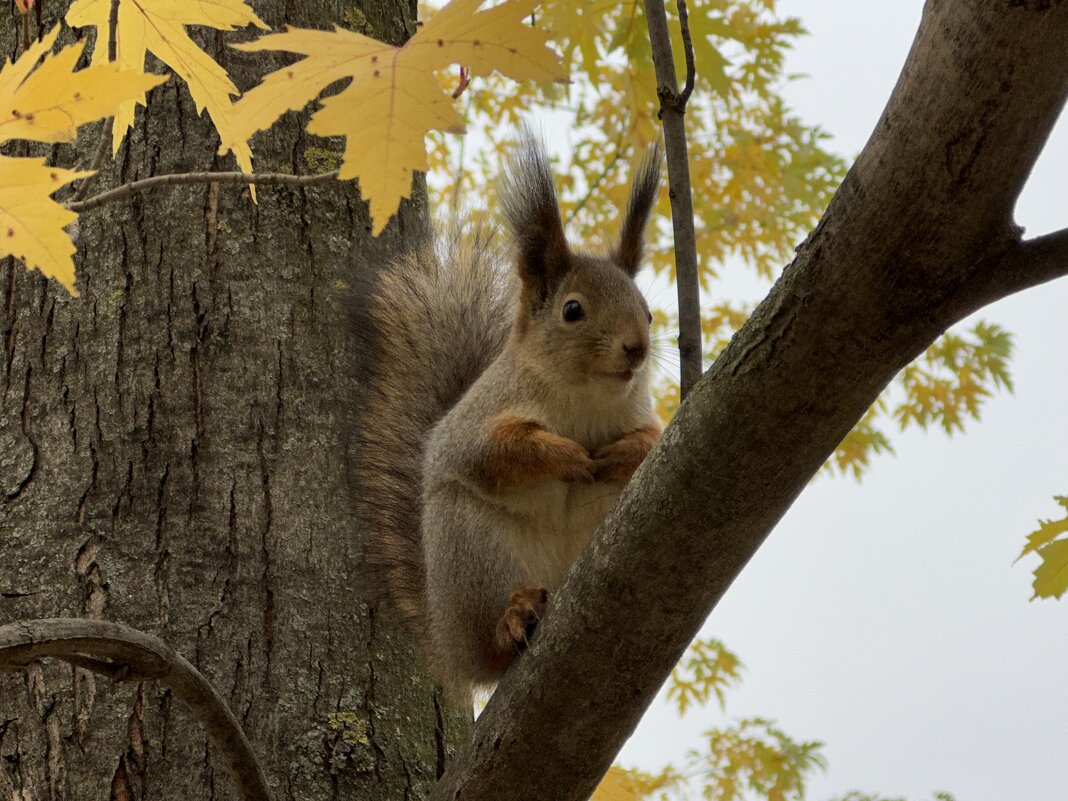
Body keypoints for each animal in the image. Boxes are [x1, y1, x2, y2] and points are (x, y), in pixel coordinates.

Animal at [358, 133, 657, 700]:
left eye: (649, 311)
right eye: (572, 310)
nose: (637, 348)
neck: (585, 398)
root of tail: (450, 645)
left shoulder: (642, 414)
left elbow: (649, 442)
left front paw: (618, 455)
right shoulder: (480, 418)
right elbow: (494, 452)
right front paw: (566, 455)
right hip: (474, 551)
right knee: (494, 641)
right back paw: (512, 617)